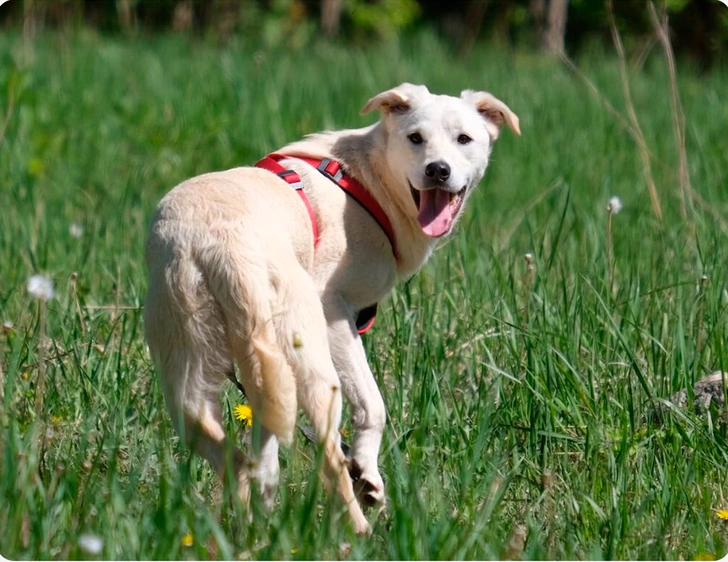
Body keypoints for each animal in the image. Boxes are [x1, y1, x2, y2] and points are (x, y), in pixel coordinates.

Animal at [144, 81, 516, 532]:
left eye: (464, 139)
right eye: (416, 138)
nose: (437, 171)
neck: (373, 183)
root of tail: (220, 245)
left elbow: (267, 445)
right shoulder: (337, 311)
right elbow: (373, 405)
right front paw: (367, 474)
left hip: (191, 376)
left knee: (238, 462)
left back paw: (254, 528)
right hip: (310, 361)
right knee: (329, 459)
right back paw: (358, 531)